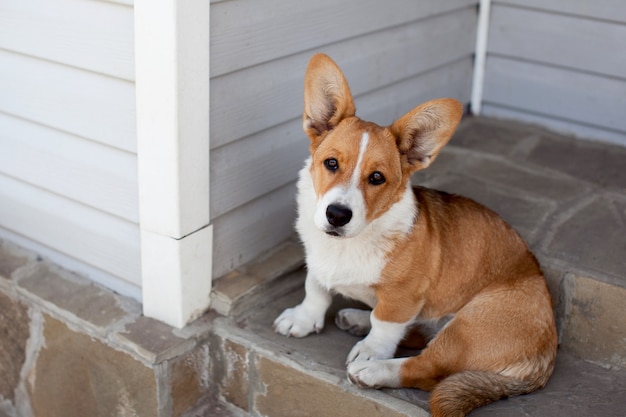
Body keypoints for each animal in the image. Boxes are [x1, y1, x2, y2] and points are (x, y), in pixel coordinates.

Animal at [272, 53, 556, 414]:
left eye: (377, 177)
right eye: (331, 163)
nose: (336, 215)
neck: (351, 242)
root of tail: (545, 357)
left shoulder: (403, 296)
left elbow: (385, 325)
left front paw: (370, 353)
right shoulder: (317, 264)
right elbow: (316, 291)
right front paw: (304, 319)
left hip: (468, 327)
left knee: (427, 367)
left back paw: (374, 369)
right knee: (418, 336)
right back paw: (357, 319)